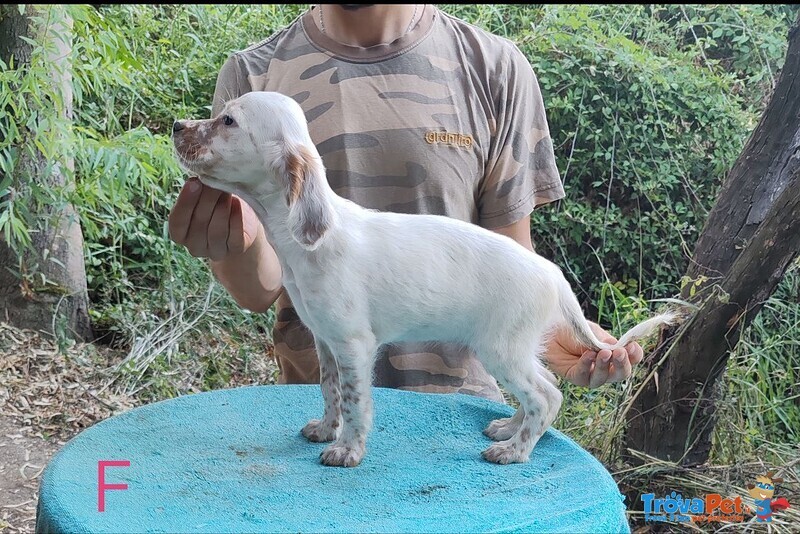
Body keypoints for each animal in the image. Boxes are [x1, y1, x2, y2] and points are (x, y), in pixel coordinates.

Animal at [170, 92, 676, 468]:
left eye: (228, 120)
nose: (175, 125)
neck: (308, 239)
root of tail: (552, 273)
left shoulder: (354, 344)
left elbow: (355, 401)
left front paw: (347, 450)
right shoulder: (326, 341)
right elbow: (330, 391)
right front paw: (326, 430)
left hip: (501, 346)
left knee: (547, 396)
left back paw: (514, 450)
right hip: (515, 348)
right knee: (541, 390)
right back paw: (509, 427)